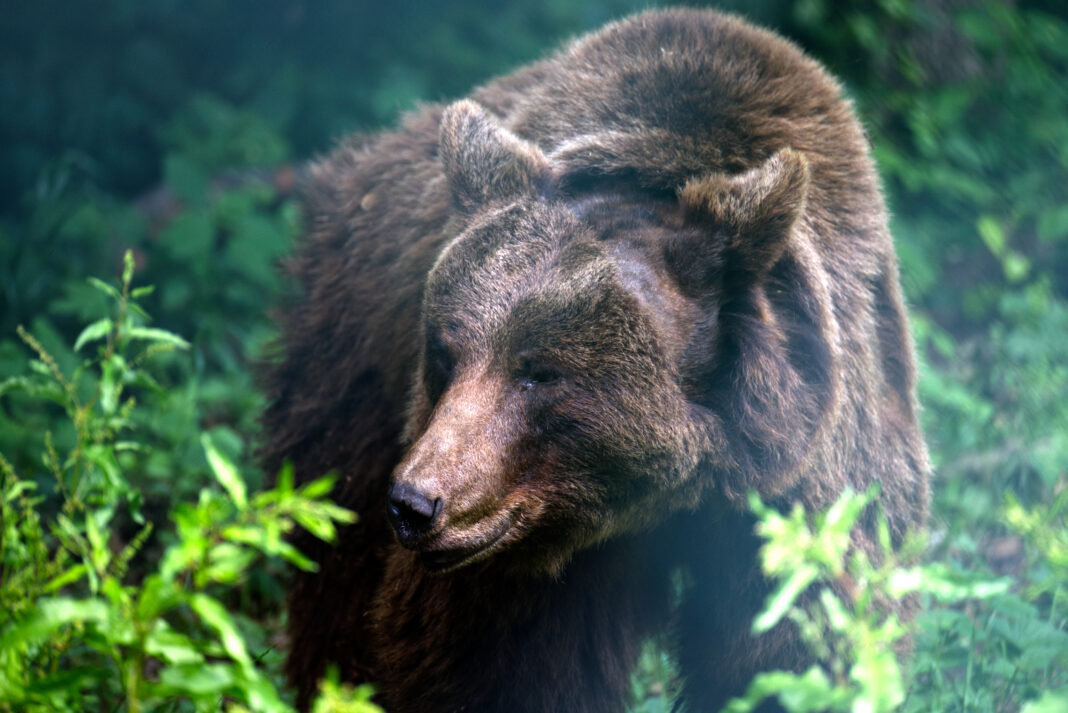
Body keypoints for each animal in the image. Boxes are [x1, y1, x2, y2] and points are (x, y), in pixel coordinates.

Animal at [260, 8, 930, 713]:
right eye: (445, 351)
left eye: (540, 373)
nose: (417, 502)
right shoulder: (513, 557)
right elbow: (493, 668)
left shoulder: (797, 491)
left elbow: (793, 653)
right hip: (352, 359)